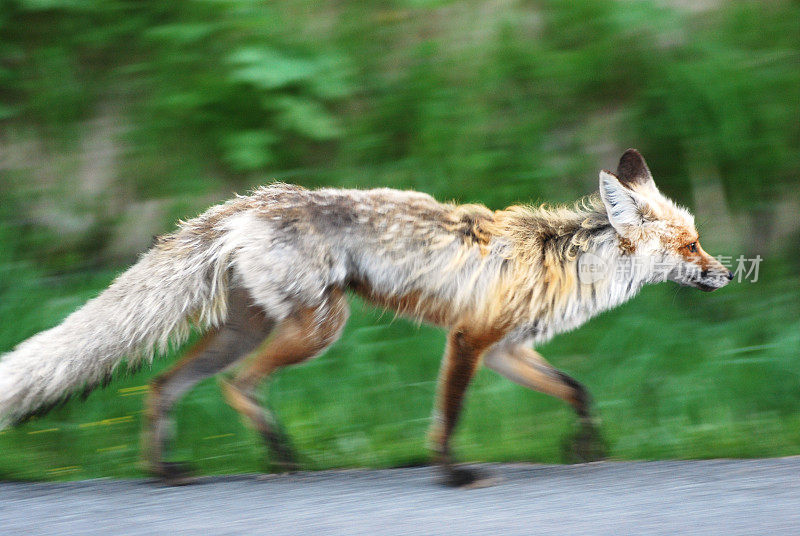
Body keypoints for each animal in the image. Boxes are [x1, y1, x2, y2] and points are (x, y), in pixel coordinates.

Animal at [0, 150, 732, 486]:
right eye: (692, 246)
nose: (726, 274)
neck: (564, 261)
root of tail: (249, 201)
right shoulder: (469, 340)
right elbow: (448, 417)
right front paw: (451, 474)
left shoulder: (508, 350)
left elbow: (578, 391)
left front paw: (585, 446)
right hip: (320, 326)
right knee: (239, 385)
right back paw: (279, 456)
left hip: (248, 328)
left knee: (162, 385)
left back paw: (167, 469)